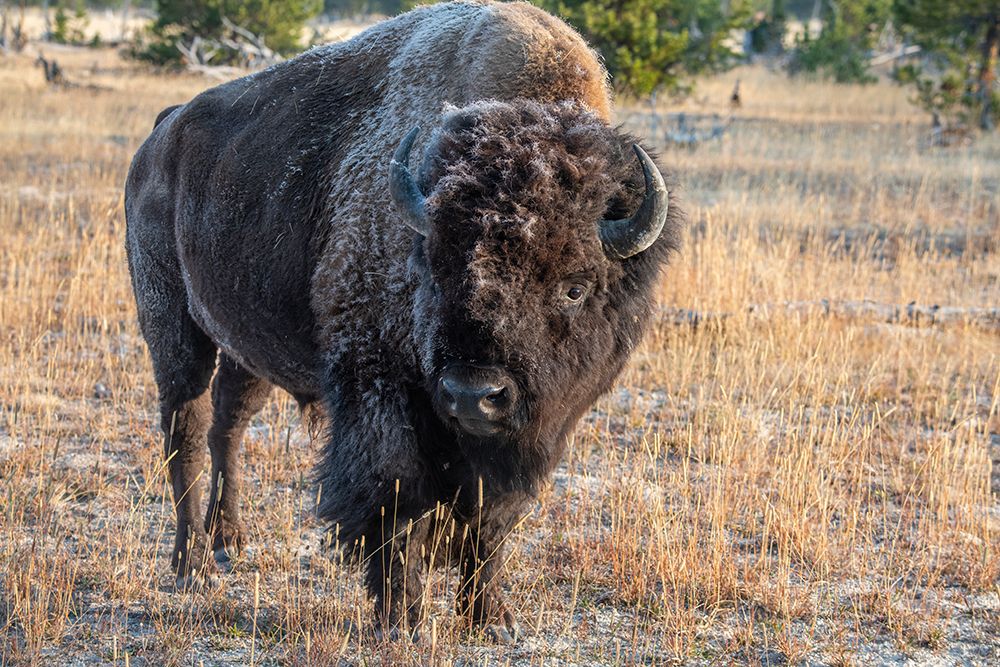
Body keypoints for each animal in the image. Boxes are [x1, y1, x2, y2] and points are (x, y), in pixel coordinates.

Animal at [125, 0, 684, 640]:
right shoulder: (380, 389)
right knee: (186, 433)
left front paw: (490, 619)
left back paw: (230, 542)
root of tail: (162, 133)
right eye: (434, 269)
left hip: (248, 348)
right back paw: (191, 564)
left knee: (228, 426)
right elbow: (397, 499)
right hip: (172, 325)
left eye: (575, 286)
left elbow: (491, 518)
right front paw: (403, 618)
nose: (473, 394)